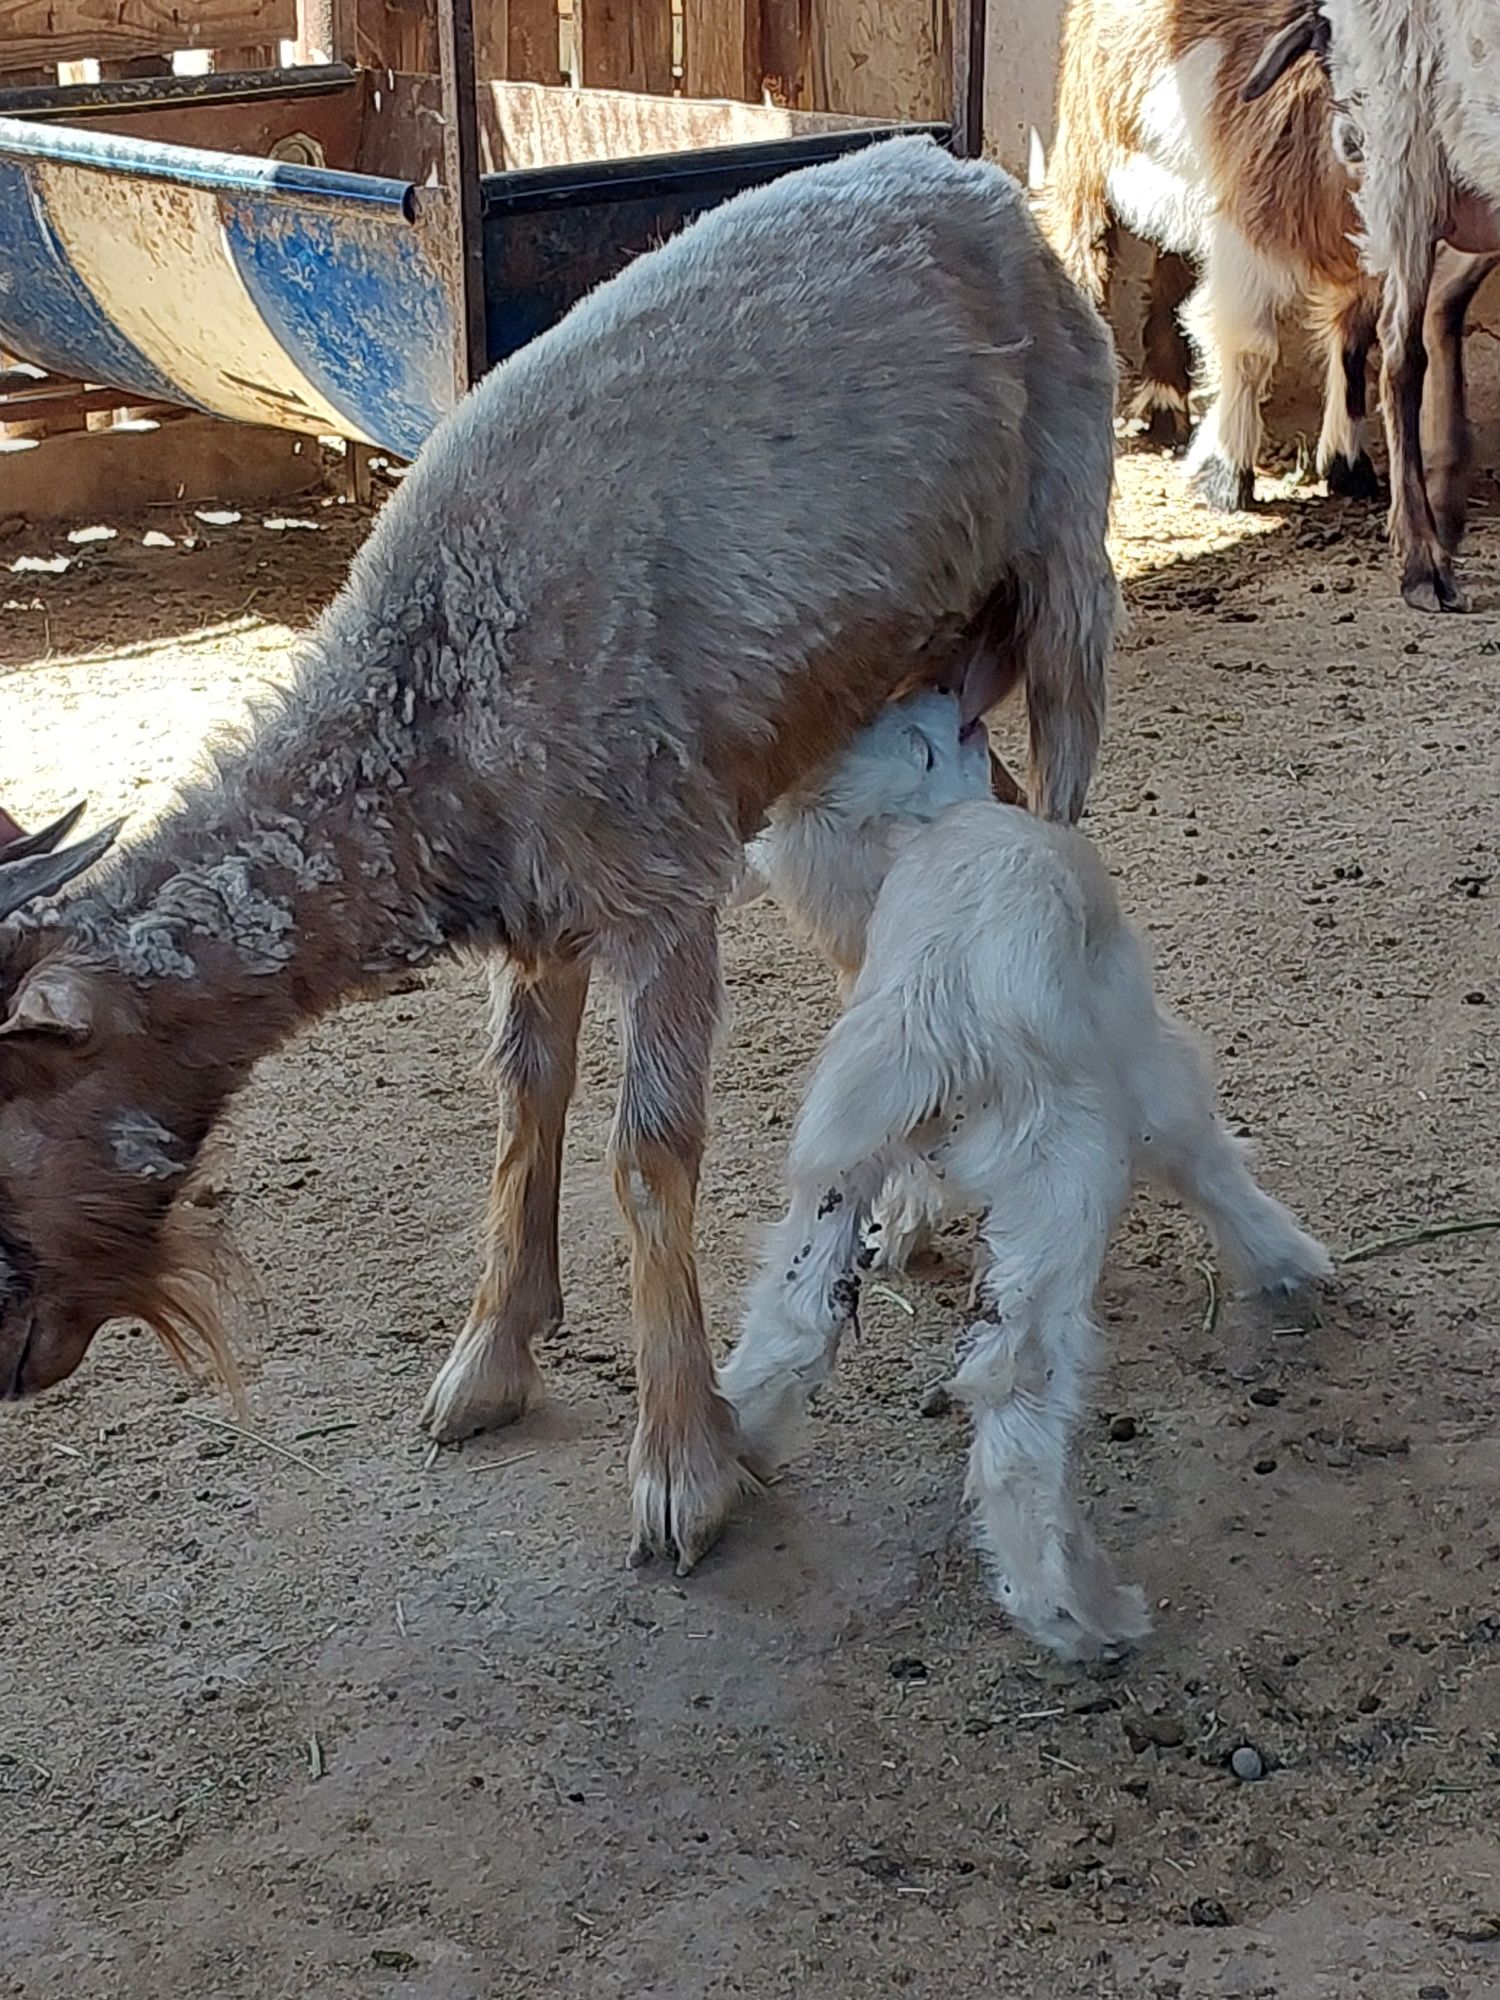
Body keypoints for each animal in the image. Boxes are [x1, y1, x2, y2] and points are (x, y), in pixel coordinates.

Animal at [1048, 0, 1384, 508]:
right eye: (1329, 62)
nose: (1357, 141)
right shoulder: (1244, 236)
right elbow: (1249, 346)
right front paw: (1224, 475)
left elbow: (1354, 345)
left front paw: (1349, 467)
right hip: (1086, 144)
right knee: (1082, 252)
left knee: (1170, 273)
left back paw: (1165, 408)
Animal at [1248, 1, 1500, 608]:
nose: (1347, 144)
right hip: (1405, 139)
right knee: (1400, 355)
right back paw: (1423, 562)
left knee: (1440, 300)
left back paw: (1445, 509)